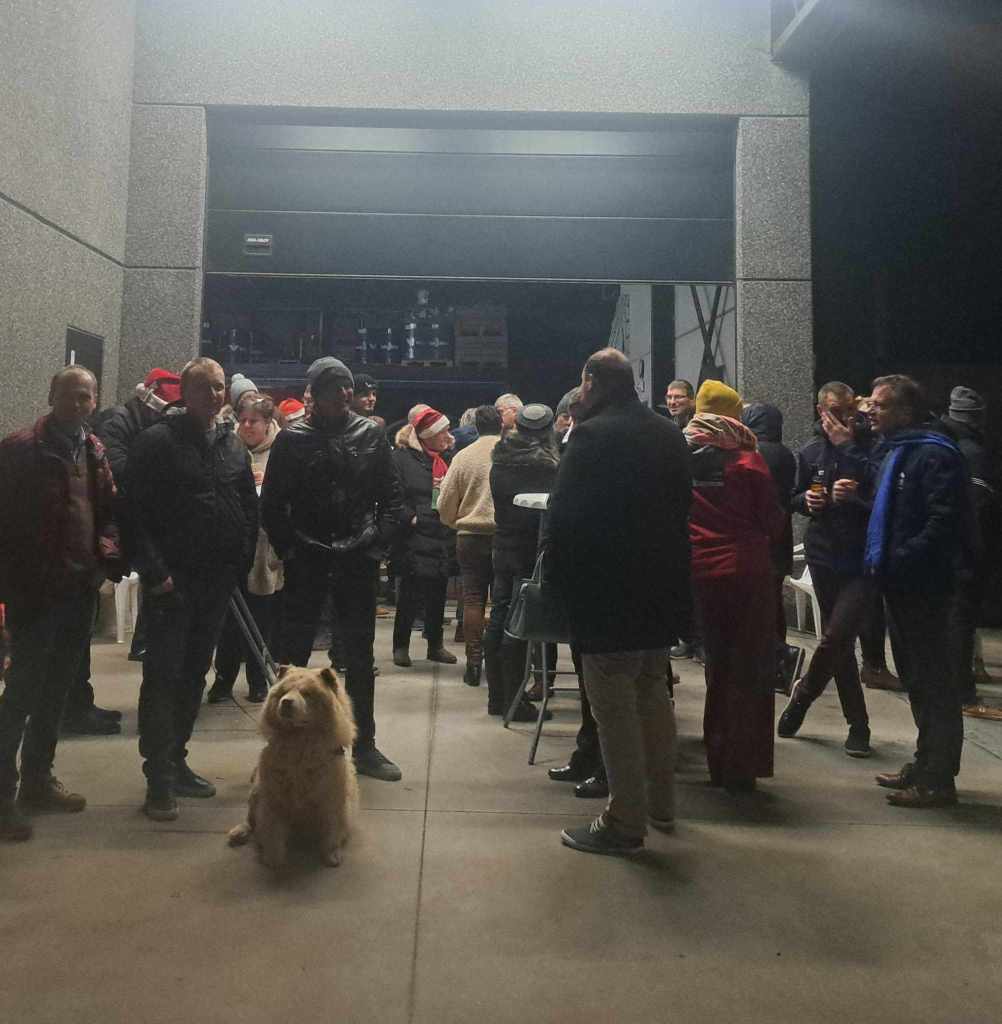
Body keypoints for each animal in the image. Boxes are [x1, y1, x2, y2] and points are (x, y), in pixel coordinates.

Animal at [228, 665, 359, 868]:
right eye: (284, 692)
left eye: (306, 694)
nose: (286, 702)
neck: (299, 741)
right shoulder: (273, 796)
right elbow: (272, 831)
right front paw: (272, 859)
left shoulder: (331, 797)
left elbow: (332, 829)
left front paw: (331, 854)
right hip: (256, 792)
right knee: (251, 820)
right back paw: (239, 832)